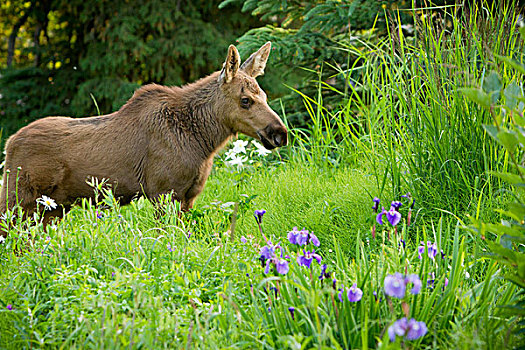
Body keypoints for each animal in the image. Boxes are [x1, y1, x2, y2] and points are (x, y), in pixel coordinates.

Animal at [0, 41, 286, 232]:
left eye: (264, 96)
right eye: (245, 100)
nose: (280, 134)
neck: (204, 141)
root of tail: (9, 143)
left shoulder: (188, 197)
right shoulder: (164, 192)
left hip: (51, 208)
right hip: (18, 200)